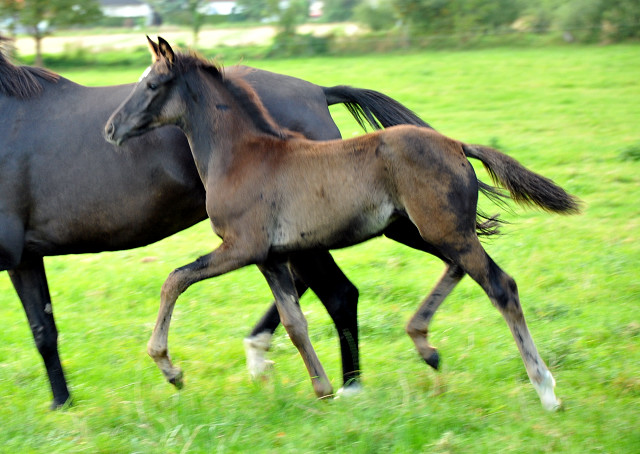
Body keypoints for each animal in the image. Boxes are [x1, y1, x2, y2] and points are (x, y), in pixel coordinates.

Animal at [0, 37, 436, 410]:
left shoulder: (12, 255)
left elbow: (44, 328)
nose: (109, 130)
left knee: (340, 293)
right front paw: (63, 403)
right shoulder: (27, 256)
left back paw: (349, 386)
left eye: (153, 84)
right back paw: (272, 359)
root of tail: (317, 91)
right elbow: (44, 328)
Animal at [106, 37, 580, 410]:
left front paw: (169, 368)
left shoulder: (241, 248)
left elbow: (175, 279)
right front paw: (324, 389)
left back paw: (545, 390)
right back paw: (424, 344)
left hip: (443, 231)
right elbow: (294, 322)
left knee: (501, 286)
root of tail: (456, 144)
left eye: (151, 85)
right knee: (459, 268)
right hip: (418, 230)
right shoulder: (271, 256)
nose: (111, 129)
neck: (241, 155)